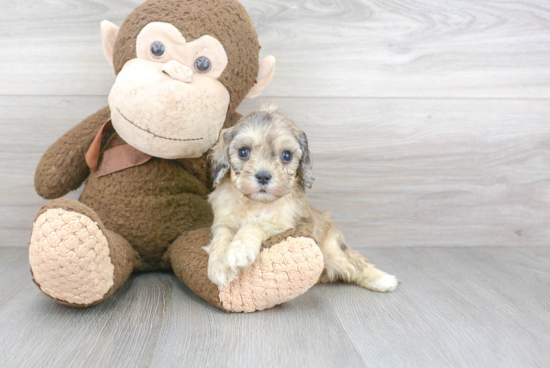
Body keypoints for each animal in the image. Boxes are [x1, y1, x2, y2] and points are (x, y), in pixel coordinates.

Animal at [205, 107, 398, 294]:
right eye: (243, 152)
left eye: (287, 155)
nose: (263, 176)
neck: (255, 203)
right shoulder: (224, 221)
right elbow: (221, 238)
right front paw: (219, 267)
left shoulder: (282, 223)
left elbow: (254, 225)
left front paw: (239, 250)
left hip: (333, 250)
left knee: (355, 264)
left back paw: (382, 279)